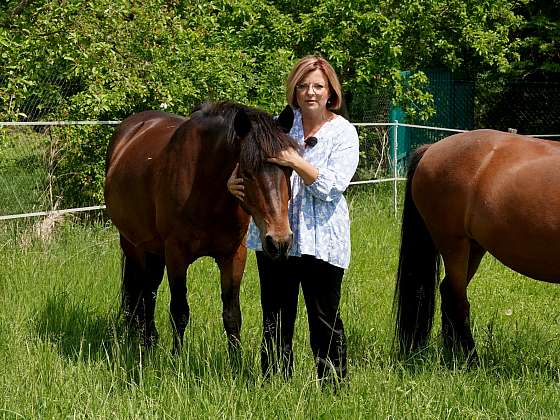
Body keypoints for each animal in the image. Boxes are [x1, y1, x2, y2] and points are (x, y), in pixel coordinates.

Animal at [104, 101, 298, 354]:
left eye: (289, 170)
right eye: (246, 172)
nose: (280, 241)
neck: (205, 186)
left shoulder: (233, 255)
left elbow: (232, 316)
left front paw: (236, 362)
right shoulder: (176, 255)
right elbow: (179, 313)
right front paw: (177, 359)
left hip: (152, 250)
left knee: (150, 289)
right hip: (133, 244)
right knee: (144, 292)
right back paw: (145, 342)